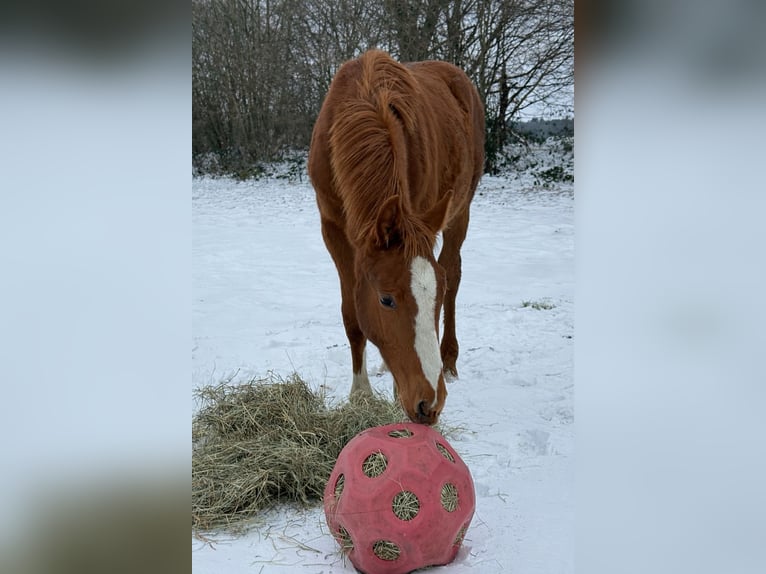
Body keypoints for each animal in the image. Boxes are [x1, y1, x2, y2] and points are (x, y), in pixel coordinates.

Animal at [308, 50, 484, 425]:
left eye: (434, 297)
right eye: (386, 300)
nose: (429, 404)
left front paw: (392, 391)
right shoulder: (333, 229)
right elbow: (352, 314)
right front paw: (360, 393)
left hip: (459, 211)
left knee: (454, 272)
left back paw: (449, 359)